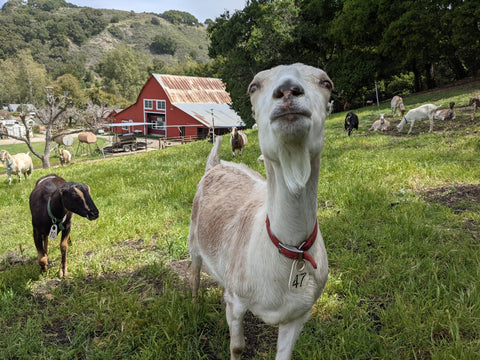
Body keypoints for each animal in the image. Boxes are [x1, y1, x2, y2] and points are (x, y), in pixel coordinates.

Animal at [189, 64, 332, 360]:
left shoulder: (299, 314)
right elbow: (237, 346)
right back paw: (195, 307)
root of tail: (216, 165)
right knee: (195, 273)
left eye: (327, 83)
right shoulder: (238, 302)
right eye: (253, 86)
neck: (289, 249)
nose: (288, 90)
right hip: (194, 239)